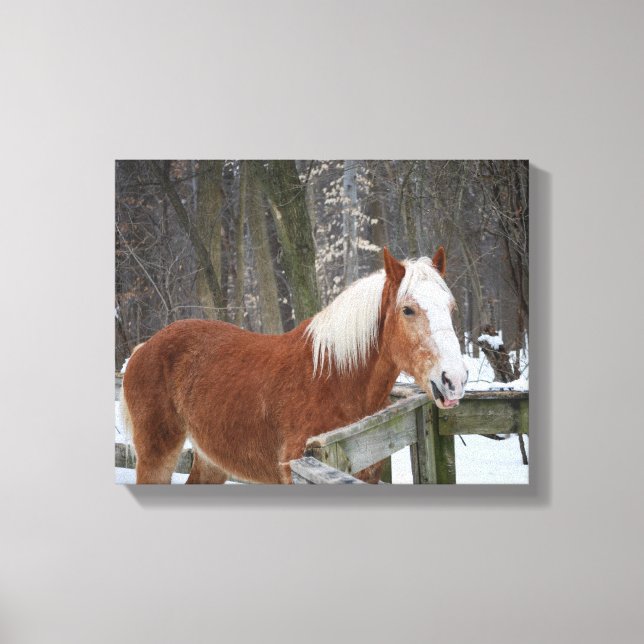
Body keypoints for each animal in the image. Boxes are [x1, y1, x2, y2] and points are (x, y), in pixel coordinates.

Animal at [120, 247, 468, 484]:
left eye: (452, 308)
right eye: (408, 310)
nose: (454, 379)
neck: (333, 379)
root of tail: (143, 348)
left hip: (211, 460)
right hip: (156, 457)